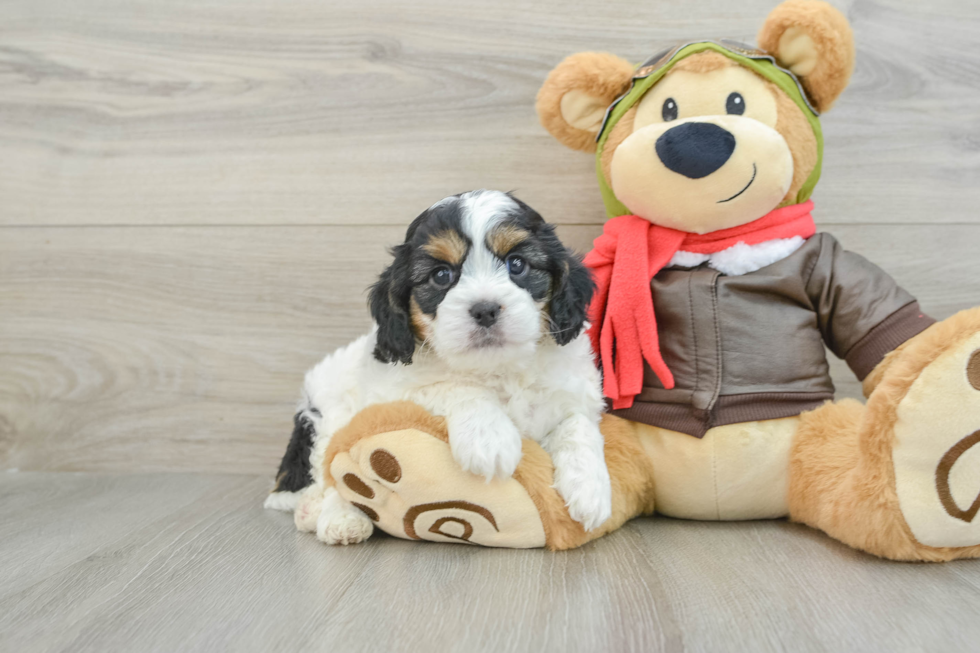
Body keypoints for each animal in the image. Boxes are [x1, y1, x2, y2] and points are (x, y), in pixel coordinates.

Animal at [264, 190, 608, 544]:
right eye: (441, 275)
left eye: (517, 264)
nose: (485, 309)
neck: (496, 368)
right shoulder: (395, 392)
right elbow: (455, 387)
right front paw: (489, 438)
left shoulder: (575, 390)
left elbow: (579, 424)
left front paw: (591, 490)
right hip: (329, 413)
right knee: (331, 473)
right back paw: (335, 517)